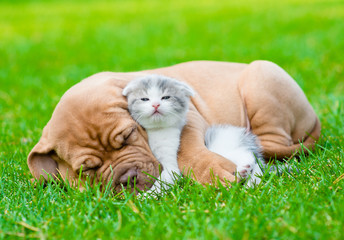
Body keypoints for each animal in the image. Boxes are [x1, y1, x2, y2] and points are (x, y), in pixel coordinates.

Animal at [28, 60, 322, 191]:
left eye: (129, 135)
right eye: (87, 169)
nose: (127, 178)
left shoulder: (189, 118)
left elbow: (187, 150)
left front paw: (213, 172)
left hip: (262, 79)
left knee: (269, 143)